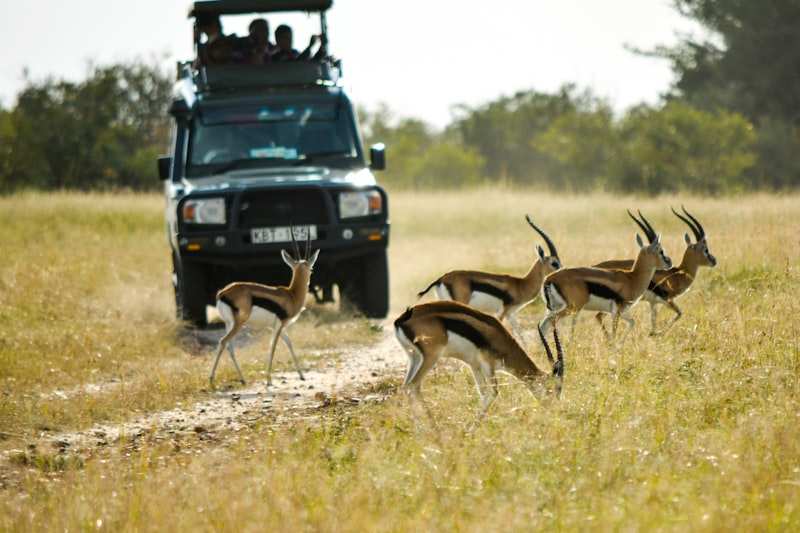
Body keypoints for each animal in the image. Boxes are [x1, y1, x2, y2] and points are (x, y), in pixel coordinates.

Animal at [209, 229, 320, 387]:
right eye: (311, 269)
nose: (310, 278)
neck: (291, 296)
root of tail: (222, 293)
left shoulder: (279, 327)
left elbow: (289, 344)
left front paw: (302, 375)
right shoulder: (279, 325)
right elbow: (273, 347)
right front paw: (268, 380)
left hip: (229, 324)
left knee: (229, 347)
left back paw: (242, 379)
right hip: (239, 323)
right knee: (223, 342)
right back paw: (212, 379)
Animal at [394, 301, 564, 422]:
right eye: (554, 388)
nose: (554, 409)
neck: (500, 340)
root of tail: (402, 319)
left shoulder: (474, 366)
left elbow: (482, 393)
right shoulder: (488, 365)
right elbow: (493, 392)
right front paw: (470, 430)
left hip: (414, 358)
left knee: (406, 386)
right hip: (431, 357)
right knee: (413, 385)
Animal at [416, 215, 561, 338]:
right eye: (554, 263)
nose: (562, 272)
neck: (520, 284)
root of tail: (441, 279)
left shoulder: (511, 314)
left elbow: (521, 336)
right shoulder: (501, 313)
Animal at [539, 210, 672, 347]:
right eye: (661, 251)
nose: (669, 262)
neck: (632, 279)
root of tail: (549, 279)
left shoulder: (621, 311)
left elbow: (632, 323)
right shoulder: (617, 312)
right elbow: (615, 332)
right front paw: (615, 347)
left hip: (554, 307)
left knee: (543, 325)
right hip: (571, 308)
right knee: (549, 323)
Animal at [594, 206, 716, 335]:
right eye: (706, 249)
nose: (714, 260)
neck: (679, 273)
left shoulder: (653, 303)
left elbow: (653, 321)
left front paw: (652, 334)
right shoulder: (667, 300)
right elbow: (679, 314)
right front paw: (658, 334)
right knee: (599, 316)